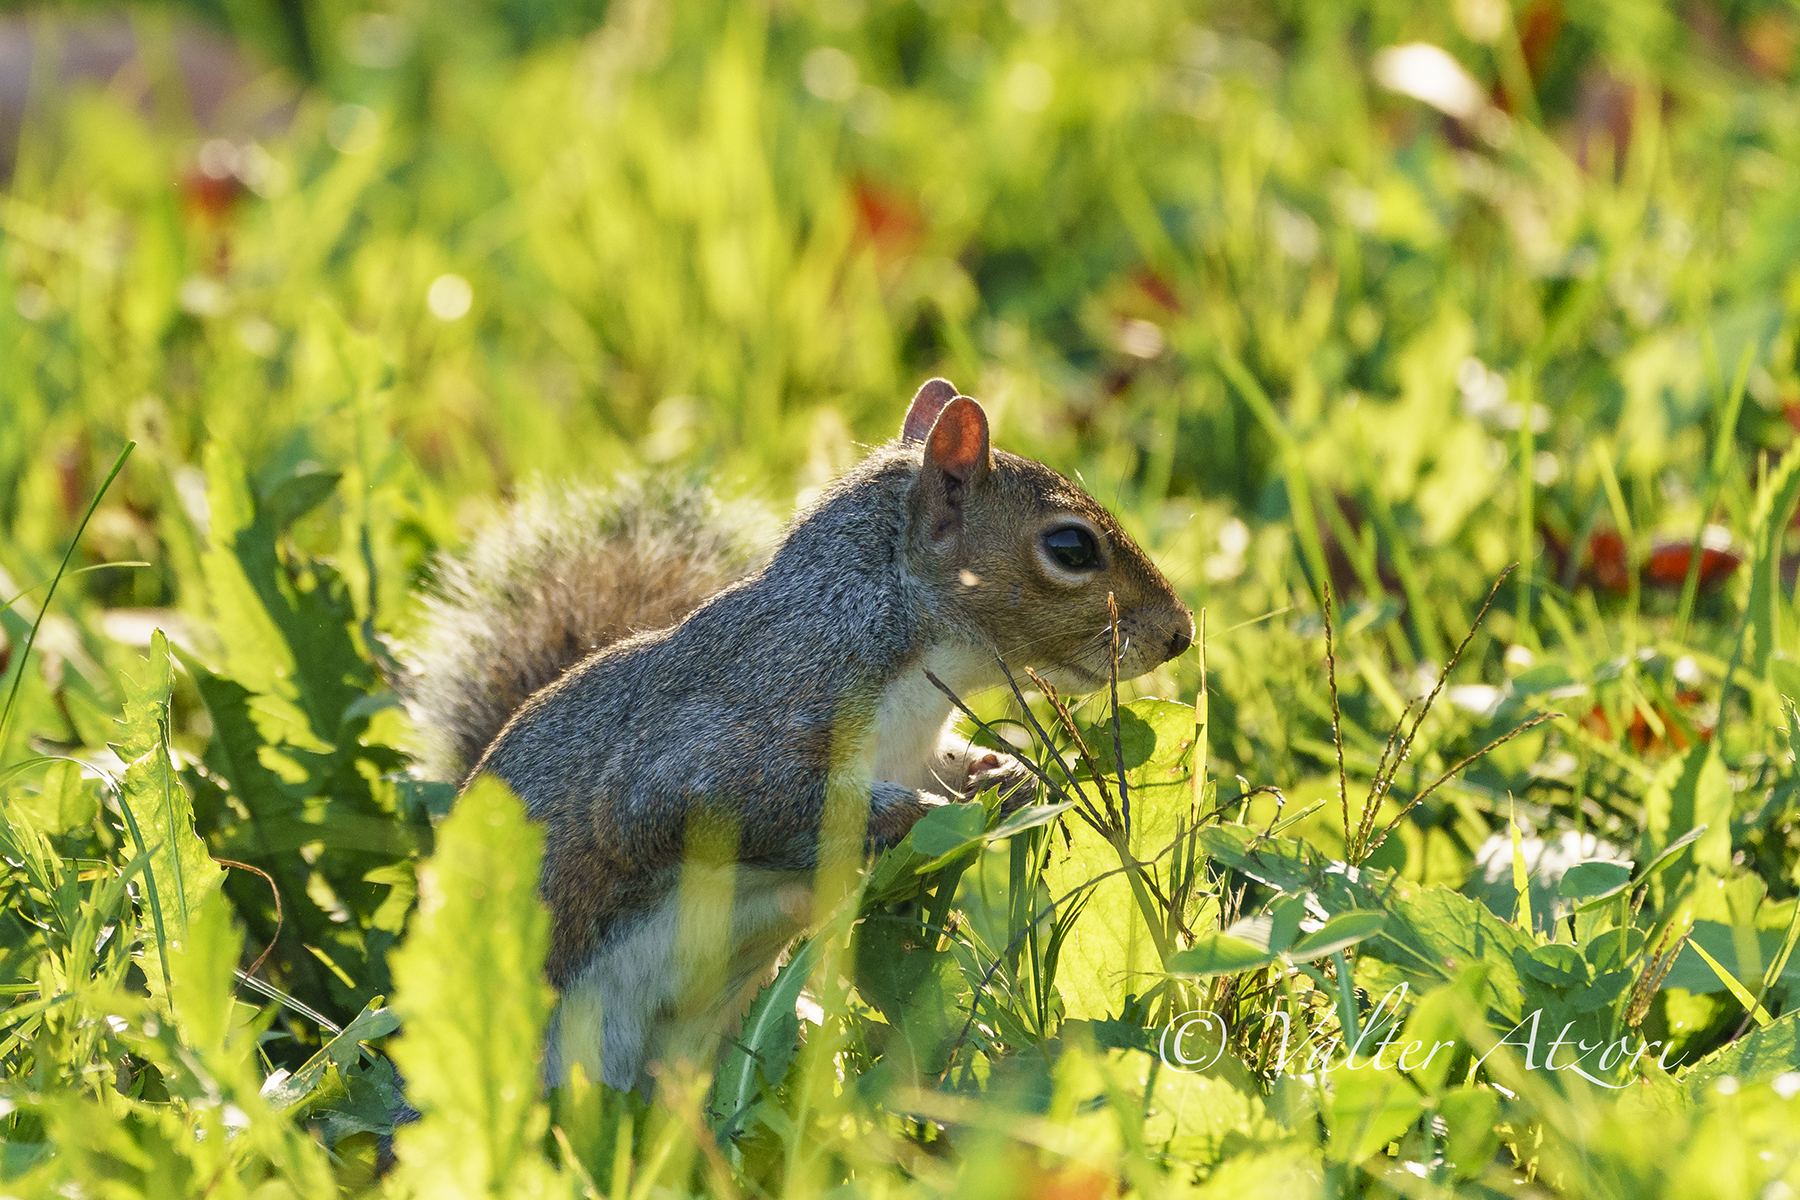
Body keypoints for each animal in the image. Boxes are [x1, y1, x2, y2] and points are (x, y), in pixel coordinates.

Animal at [400, 379, 1195, 1094]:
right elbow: (699, 803)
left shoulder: (917, 746)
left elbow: (949, 765)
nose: (1181, 633)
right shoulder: (721, 735)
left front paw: (1006, 776)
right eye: (1070, 547)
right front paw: (909, 816)